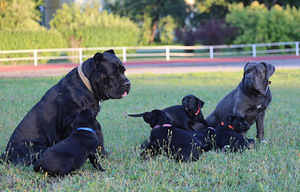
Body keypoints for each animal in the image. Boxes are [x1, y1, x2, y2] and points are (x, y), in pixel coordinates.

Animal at [1, 50, 130, 165]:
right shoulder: (71, 121)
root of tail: (5, 154)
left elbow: (99, 139)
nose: (128, 83)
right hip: (37, 148)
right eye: (112, 74)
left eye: (124, 71)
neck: (87, 84)